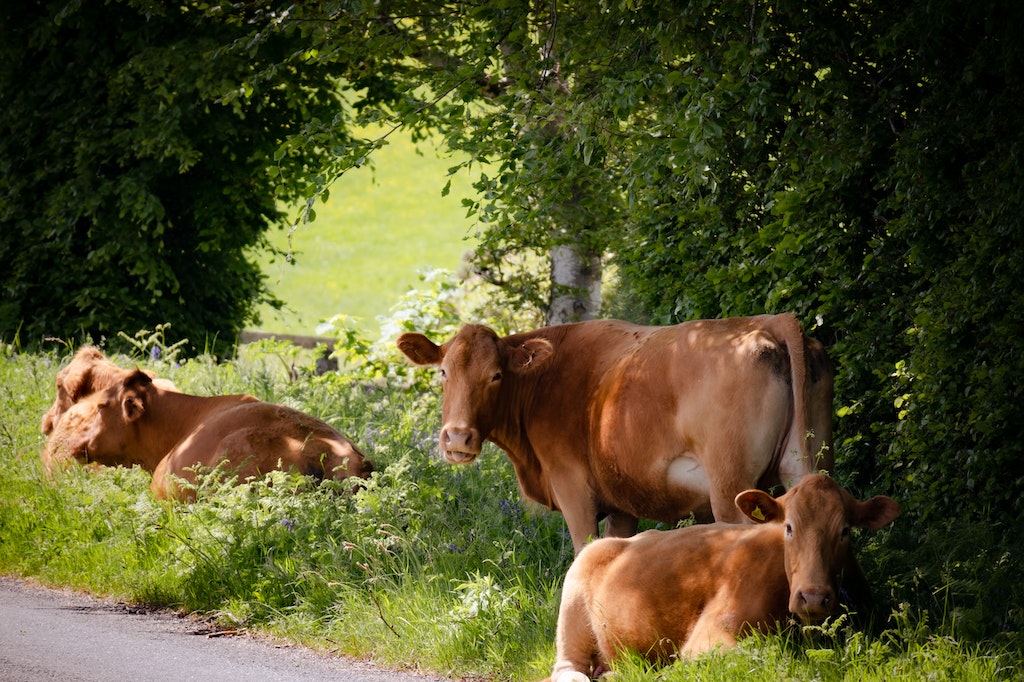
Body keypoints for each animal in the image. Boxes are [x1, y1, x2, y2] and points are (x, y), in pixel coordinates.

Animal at [395, 313, 835, 552]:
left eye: (496, 376)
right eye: (443, 372)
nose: (457, 438)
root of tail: (770, 322)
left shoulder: (573, 488)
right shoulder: (622, 499)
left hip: (731, 489)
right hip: (808, 465)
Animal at [548, 473, 901, 679]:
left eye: (845, 531)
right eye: (788, 527)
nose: (813, 597)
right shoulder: (710, 635)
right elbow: (755, 651)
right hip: (572, 612)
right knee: (569, 670)